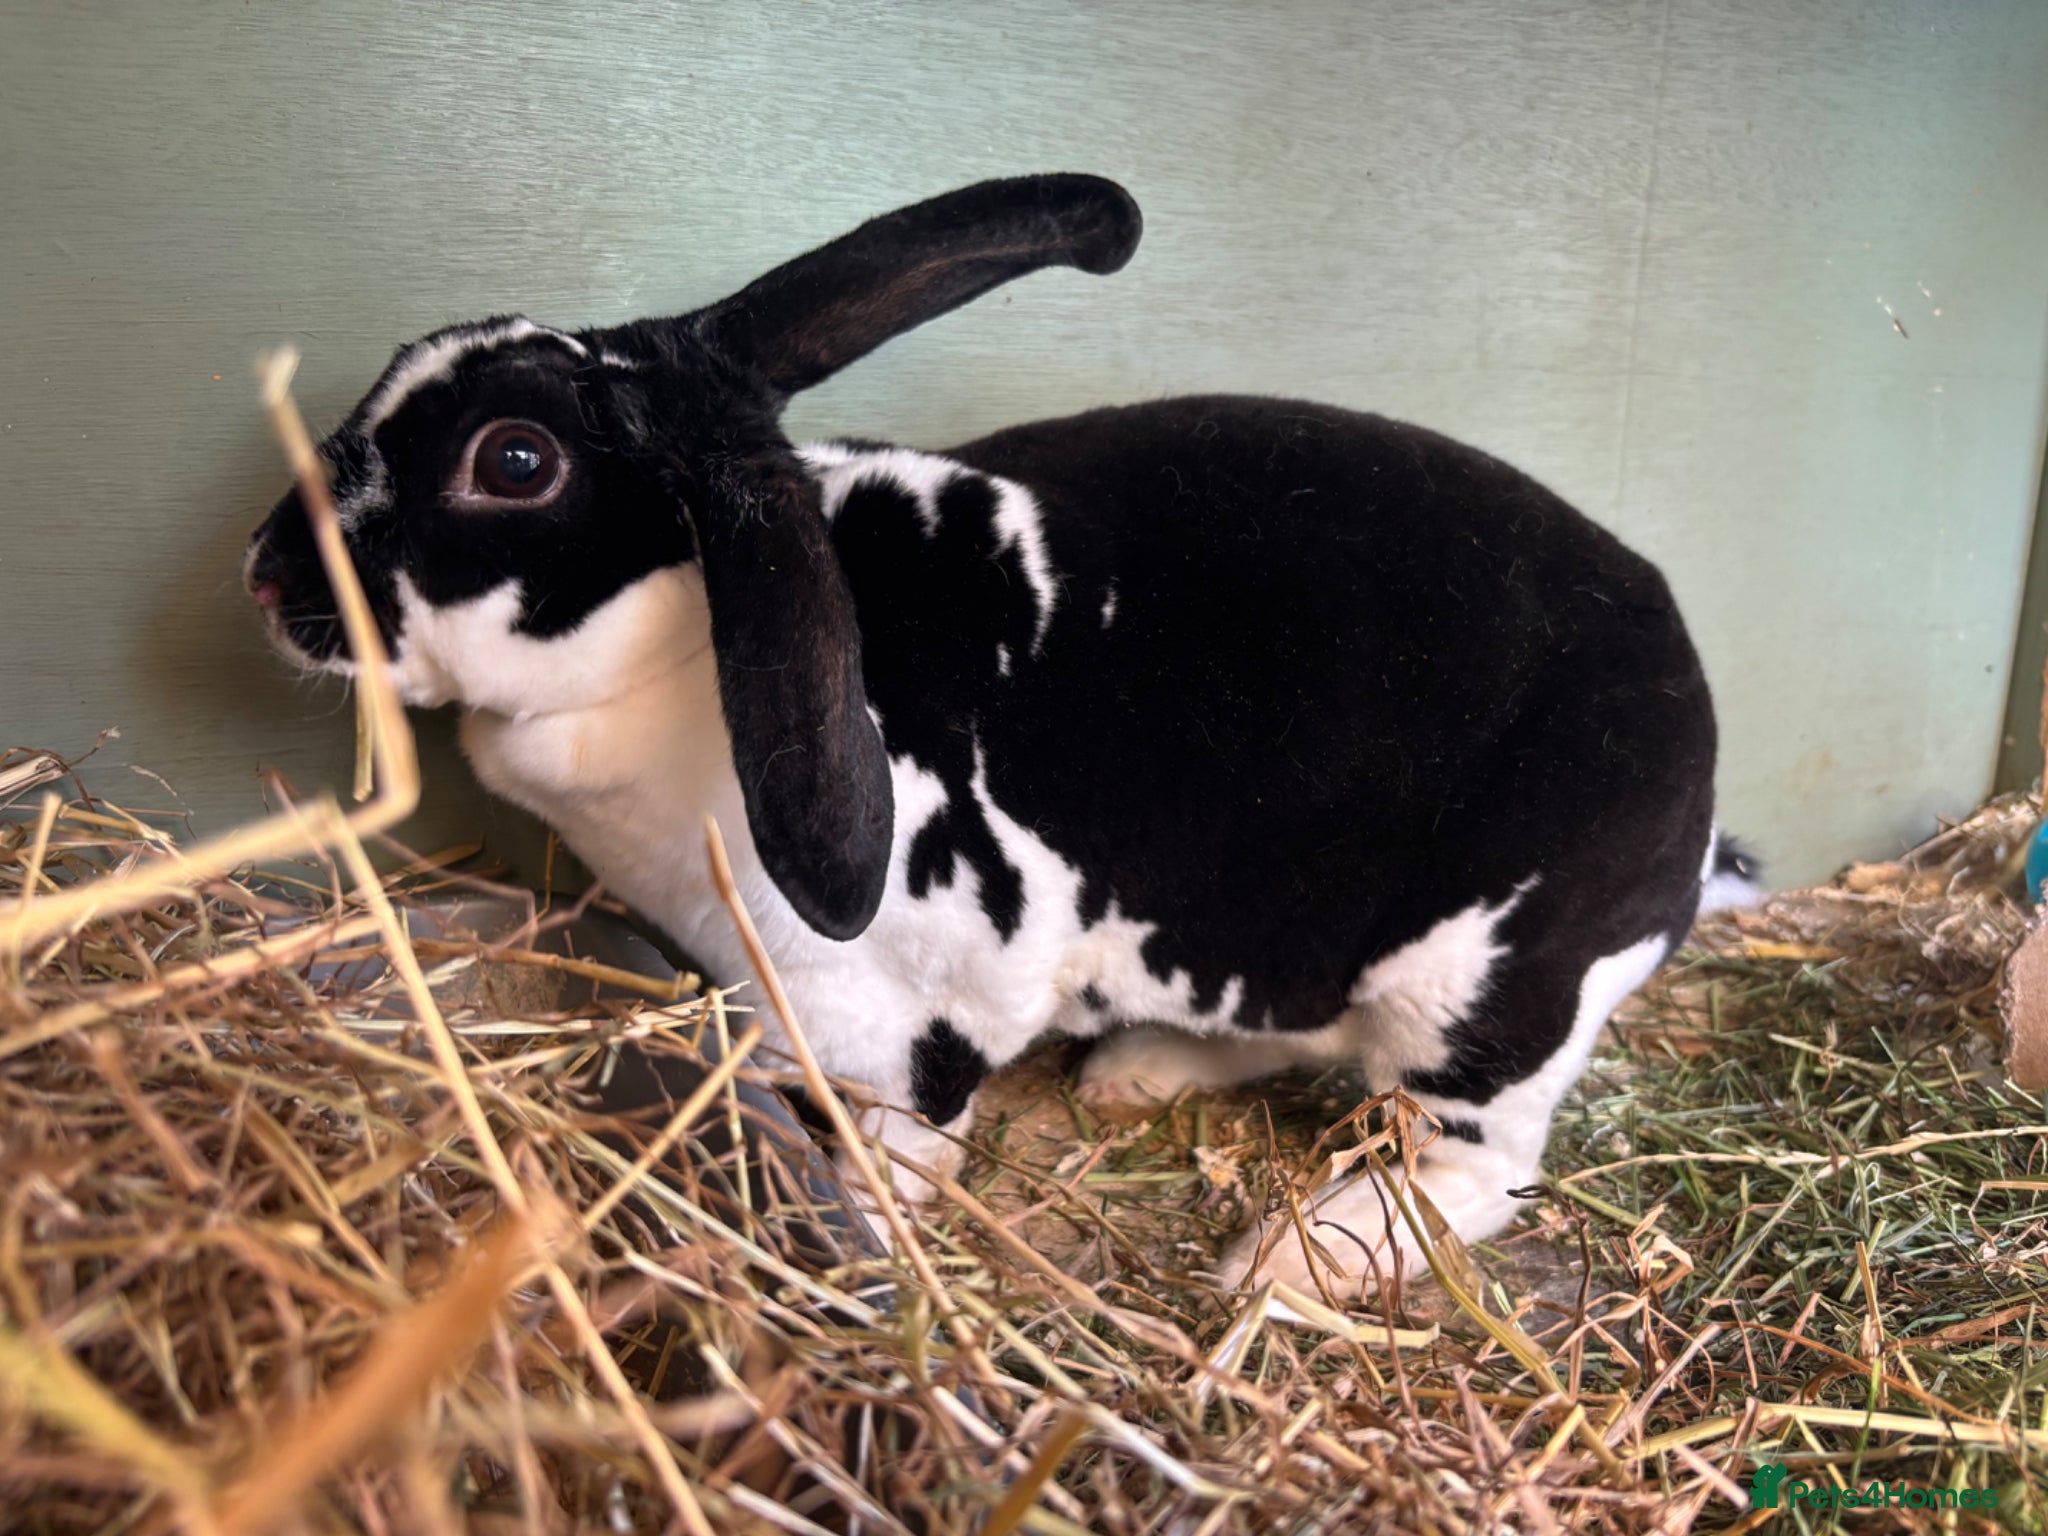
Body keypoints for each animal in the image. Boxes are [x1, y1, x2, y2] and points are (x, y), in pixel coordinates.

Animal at [245, 174, 1760, 1305]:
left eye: (513, 461)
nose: (265, 572)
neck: (685, 641)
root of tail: (1692, 742)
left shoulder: (926, 1018)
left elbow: (908, 1148)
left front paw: (872, 1238)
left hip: (1484, 994)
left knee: (1475, 1166)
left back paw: (1291, 1261)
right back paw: (1140, 1077)